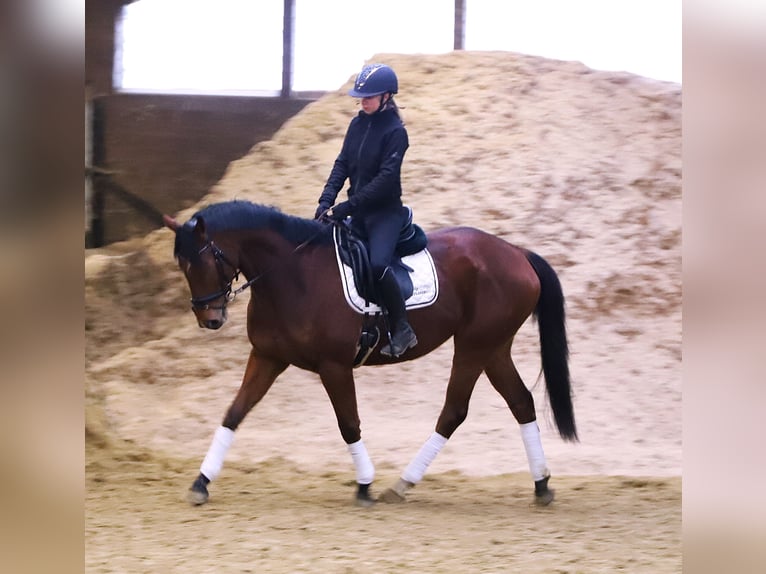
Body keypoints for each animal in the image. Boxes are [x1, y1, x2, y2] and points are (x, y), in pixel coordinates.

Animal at [162, 199, 577, 507]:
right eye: (182, 265)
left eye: (205, 260)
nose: (210, 319)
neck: (292, 275)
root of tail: (517, 253)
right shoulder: (267, 357)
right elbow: (234, 413)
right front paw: (201, 482)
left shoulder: (334, 366)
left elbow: (348, 423)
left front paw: (364, 486)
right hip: (494, 348)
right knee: (520, 402)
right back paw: (541, 484)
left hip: (474, 346)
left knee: (454, 411)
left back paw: (403, 483)